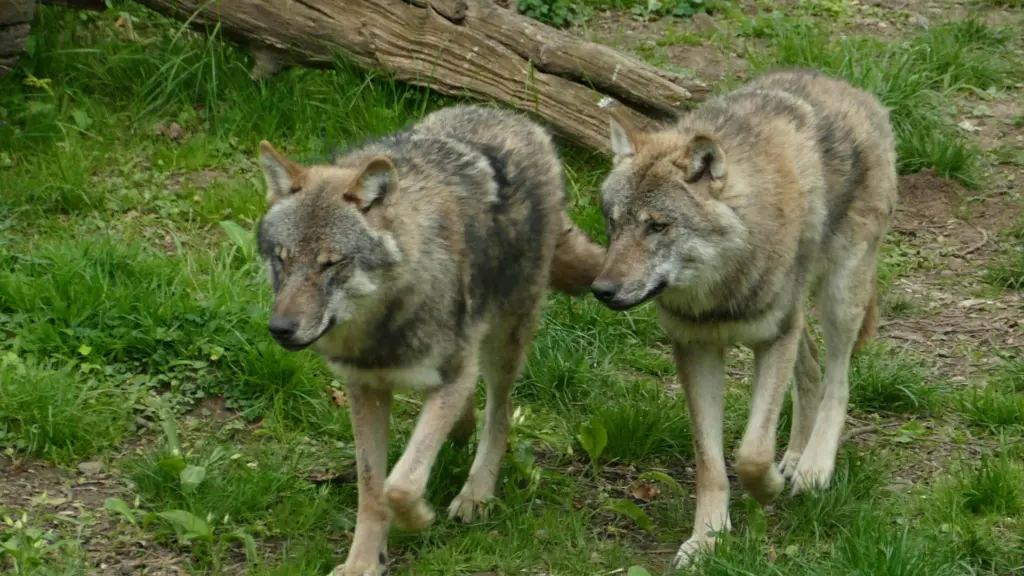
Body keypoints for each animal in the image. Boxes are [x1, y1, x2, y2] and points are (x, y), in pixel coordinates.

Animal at [255, 104, 605, 576]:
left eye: (332, 264)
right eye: (282, 260)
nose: (281, 328)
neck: (382, 327)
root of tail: (519, 119)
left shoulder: (451, 372)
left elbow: (399, 485)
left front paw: (420, 517)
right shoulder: (364, 389)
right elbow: (372, 488)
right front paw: (363, 562)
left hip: (503, 343)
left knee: (499, 414)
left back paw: (476, 493)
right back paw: (460, 430)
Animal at [590, 68, 898, 568]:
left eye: (658, 226)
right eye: (613, 223)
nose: (602, 290)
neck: (719, 293)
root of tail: (850, 87)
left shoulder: (772, 340)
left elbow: (751, 453)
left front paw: (769, 486)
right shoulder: (696, 348)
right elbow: (711, 462)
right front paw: (707, 540)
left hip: (839, 296)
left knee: (838, 380)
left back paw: (813, 467)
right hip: (797, 316)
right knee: (811, 371)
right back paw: (795, 456)